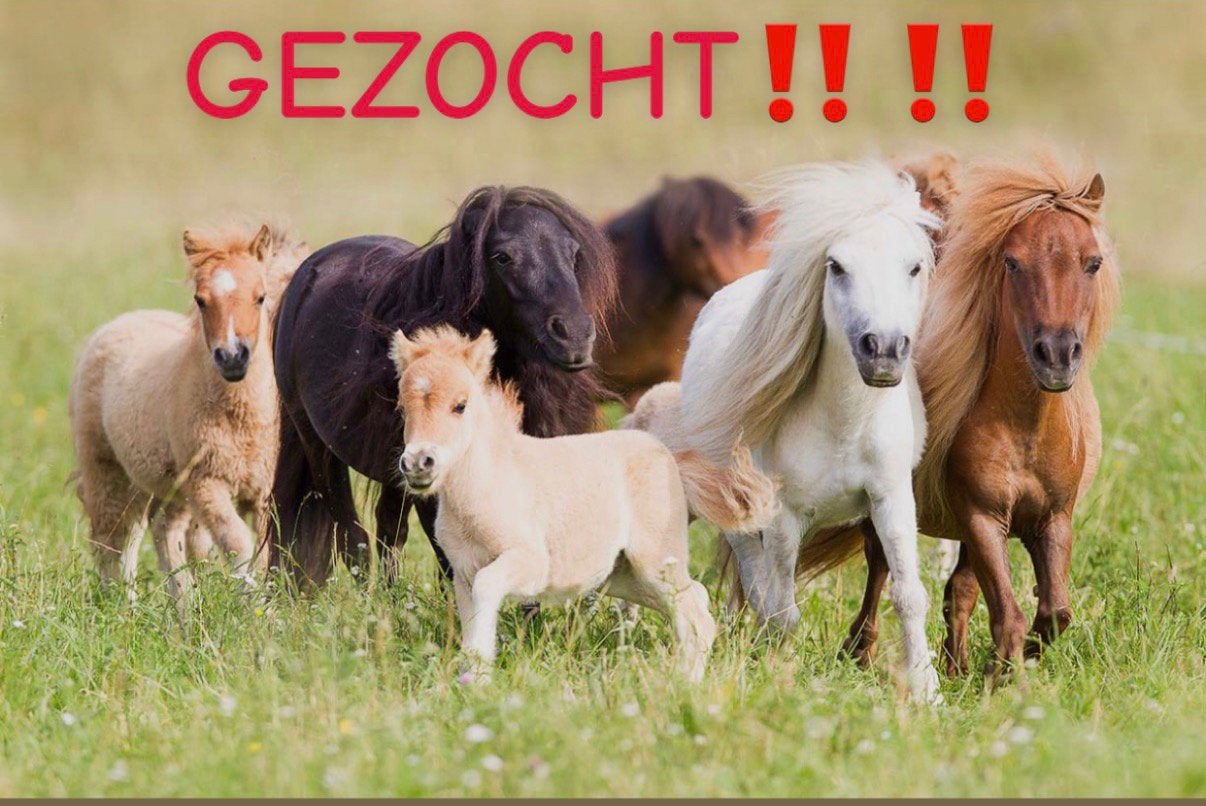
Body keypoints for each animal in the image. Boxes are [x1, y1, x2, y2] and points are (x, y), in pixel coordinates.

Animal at [69, 221, 307, 598]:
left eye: (260, 296)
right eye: (200, 300)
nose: (232, 357)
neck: (242, 420)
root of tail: (122, 321)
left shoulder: (263, 493)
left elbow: (264, 551)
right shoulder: (207, 485)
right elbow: (237, 544)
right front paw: (251, 602)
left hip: (159, 486)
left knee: (157, 532)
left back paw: (176, 601)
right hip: (107, 471)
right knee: (114, 539)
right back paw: (120, 604)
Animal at [269, 187, 618, 585]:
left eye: (573, 254)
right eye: (502, 256)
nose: (574, 336)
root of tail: (309, 273)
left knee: (389, 530)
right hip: (319, 447)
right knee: (352, 538)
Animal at [389, 326, 776, 682]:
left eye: (460, 405)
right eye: (403, 409)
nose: (419, 463)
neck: (485, 487)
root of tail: (673, 460)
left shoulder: (531, 564)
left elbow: (489, 587)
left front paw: (479, 676)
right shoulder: (463, 574)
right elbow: (472, 618)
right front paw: (474, 679)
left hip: (654, 560)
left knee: (693, 606)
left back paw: (686, 683)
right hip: (623, 576)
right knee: (693, 602)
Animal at [631, 162, 943, 702]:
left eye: (914, 267)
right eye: (837, 266)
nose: (883, 350)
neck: (843, 425)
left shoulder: (891, 499)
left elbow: (908, 595)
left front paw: (927, 690)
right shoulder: (783, 516)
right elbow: (782, 609)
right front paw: (784, 675)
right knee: (759, 585)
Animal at [798, 155, 1119, 677]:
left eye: (1092, 262)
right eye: (1012, 262)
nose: (1056, 356)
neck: (1026, 428)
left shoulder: (1052, 521)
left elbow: (1054, 612)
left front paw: (1003, 665)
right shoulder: (982, 519)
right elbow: (1009, 614)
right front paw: (1002, 674)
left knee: (958, 591)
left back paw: (956, 665)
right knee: (880, 567)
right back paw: (861, 651)